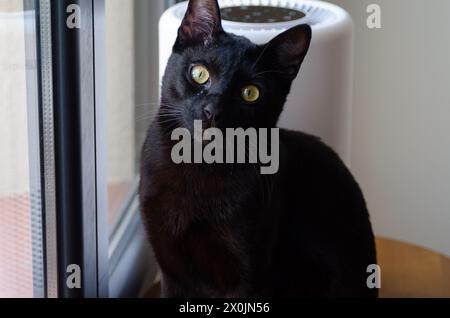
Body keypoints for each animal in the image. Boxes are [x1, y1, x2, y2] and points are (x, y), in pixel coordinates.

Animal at [140, 0, 376, 298]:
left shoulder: (246, 276)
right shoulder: (171, 269)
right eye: (199, 73)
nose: (212, 111)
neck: (198, 166)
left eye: (250, 93)